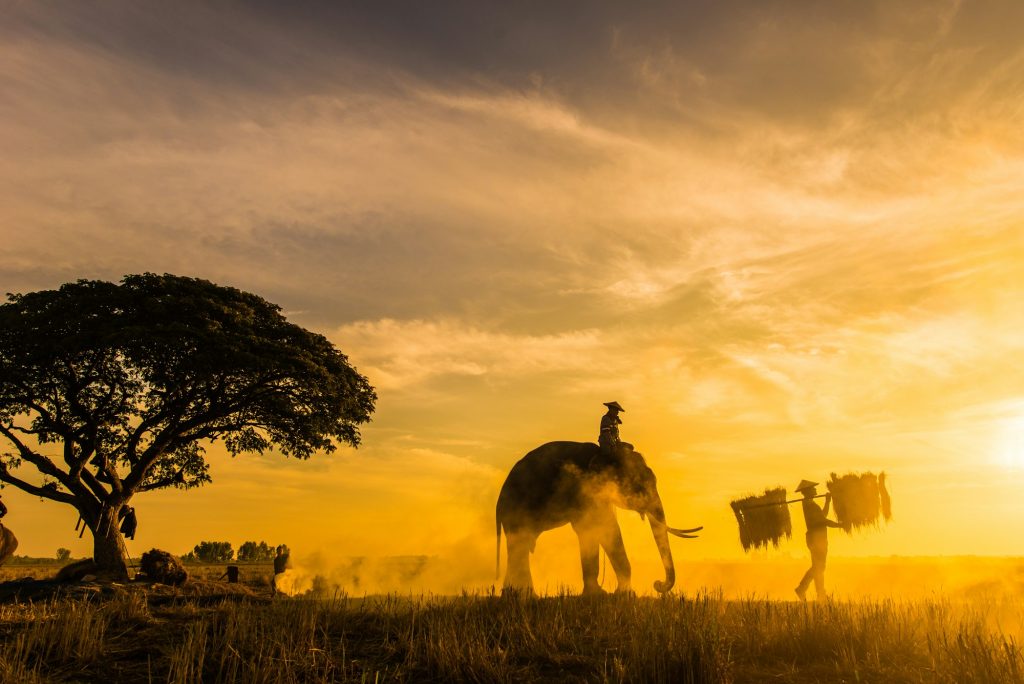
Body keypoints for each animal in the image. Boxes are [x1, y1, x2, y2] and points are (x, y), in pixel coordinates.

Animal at [493, 440, 700, 593]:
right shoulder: (582, 490)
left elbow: (602, 529)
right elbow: (599, 527)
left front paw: (608, 594)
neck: (606, 455)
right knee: (519, 546)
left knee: (520, 547)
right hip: (516, 509)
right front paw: (617, 595)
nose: (657, 584)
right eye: (638, 484)